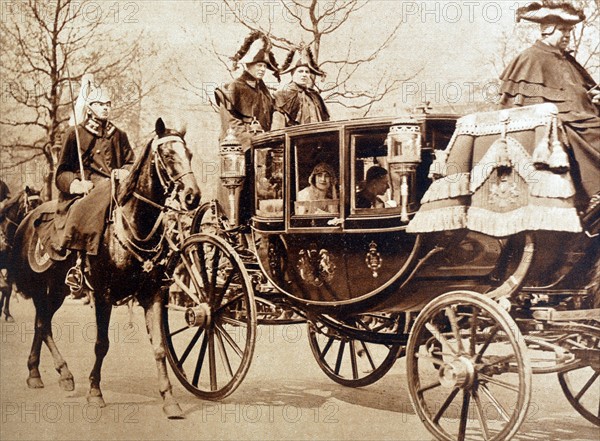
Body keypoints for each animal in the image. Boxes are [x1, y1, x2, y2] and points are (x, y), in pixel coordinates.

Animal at [0, 184, 42, 322]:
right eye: (31, 203)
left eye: (41, 202)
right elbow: (5, 287)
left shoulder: (11, 267)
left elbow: (7, 289)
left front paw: (7, 313)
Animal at [12, 118, 200, 418]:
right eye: (169, 155)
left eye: (189, 154)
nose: (193, 196)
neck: (134, 223)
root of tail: (28, 219)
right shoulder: (103, 294)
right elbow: (101, 345)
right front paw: (95, 392)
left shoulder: (153, 294)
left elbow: (159, 347)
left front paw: (170, 400)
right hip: (42, 286)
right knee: (42, 323)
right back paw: (51, 373)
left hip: (59, 290)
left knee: (43, 323)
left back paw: (45, 373)